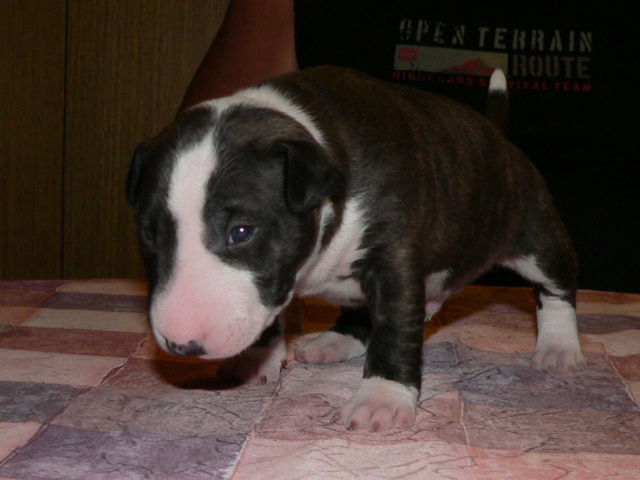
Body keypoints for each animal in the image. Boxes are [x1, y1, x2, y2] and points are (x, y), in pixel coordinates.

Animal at [126, 66, 584, 431]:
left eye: (241, 231)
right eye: (149, 233)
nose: (181, 345)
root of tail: (498, 137)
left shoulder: (395, 256)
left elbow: (395, 327)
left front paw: (381, 398)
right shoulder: (280, 279)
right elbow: (276, 311)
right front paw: (257, 357)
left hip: (535, 232)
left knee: (556, 286)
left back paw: (559, 348)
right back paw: (334, 341)